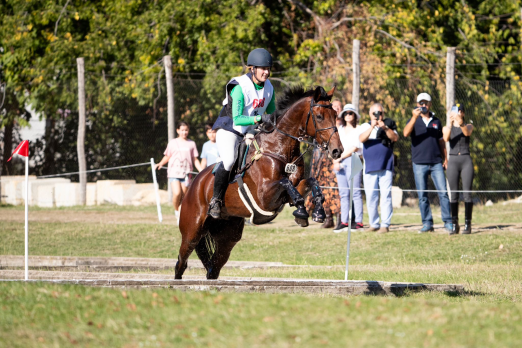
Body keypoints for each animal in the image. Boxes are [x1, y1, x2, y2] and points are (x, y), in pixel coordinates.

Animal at [175, 84, 344, 280]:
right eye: (319, 116)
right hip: (192, 231)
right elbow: (286, 183)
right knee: (181, 262)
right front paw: (302, 212)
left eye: (336, 115)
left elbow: (312, 182)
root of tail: (193, 185)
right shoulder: (265, 197)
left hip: (228, 236)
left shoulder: (291, 190)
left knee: (213, 268)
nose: (337, 151)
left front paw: (317, 212)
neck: (279, 147)